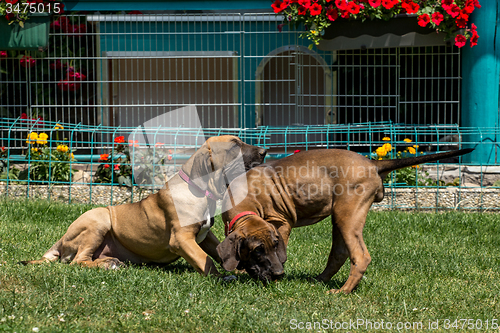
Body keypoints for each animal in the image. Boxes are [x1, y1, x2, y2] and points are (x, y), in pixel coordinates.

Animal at [21, 135, 268, 278]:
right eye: (234, 145)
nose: (265, 152)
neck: (199, 189)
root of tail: (61, 239)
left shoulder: (205, 236)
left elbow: (217, 250)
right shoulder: (181, 239)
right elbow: (203, 259)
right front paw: (221, 277)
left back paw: (109, 261)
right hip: (99, 219)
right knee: (77, 261)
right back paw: (108, 265)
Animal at [218, 147, 472, 292]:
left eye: (270, 246)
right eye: (257, 250)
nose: (278, 274)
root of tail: (372, 163)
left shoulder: (282, 223)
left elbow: (282, 250)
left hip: (347, 215)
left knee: (360, 256)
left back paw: (343, 292)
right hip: (341, 217)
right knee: (339, 253)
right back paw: (319, 280)